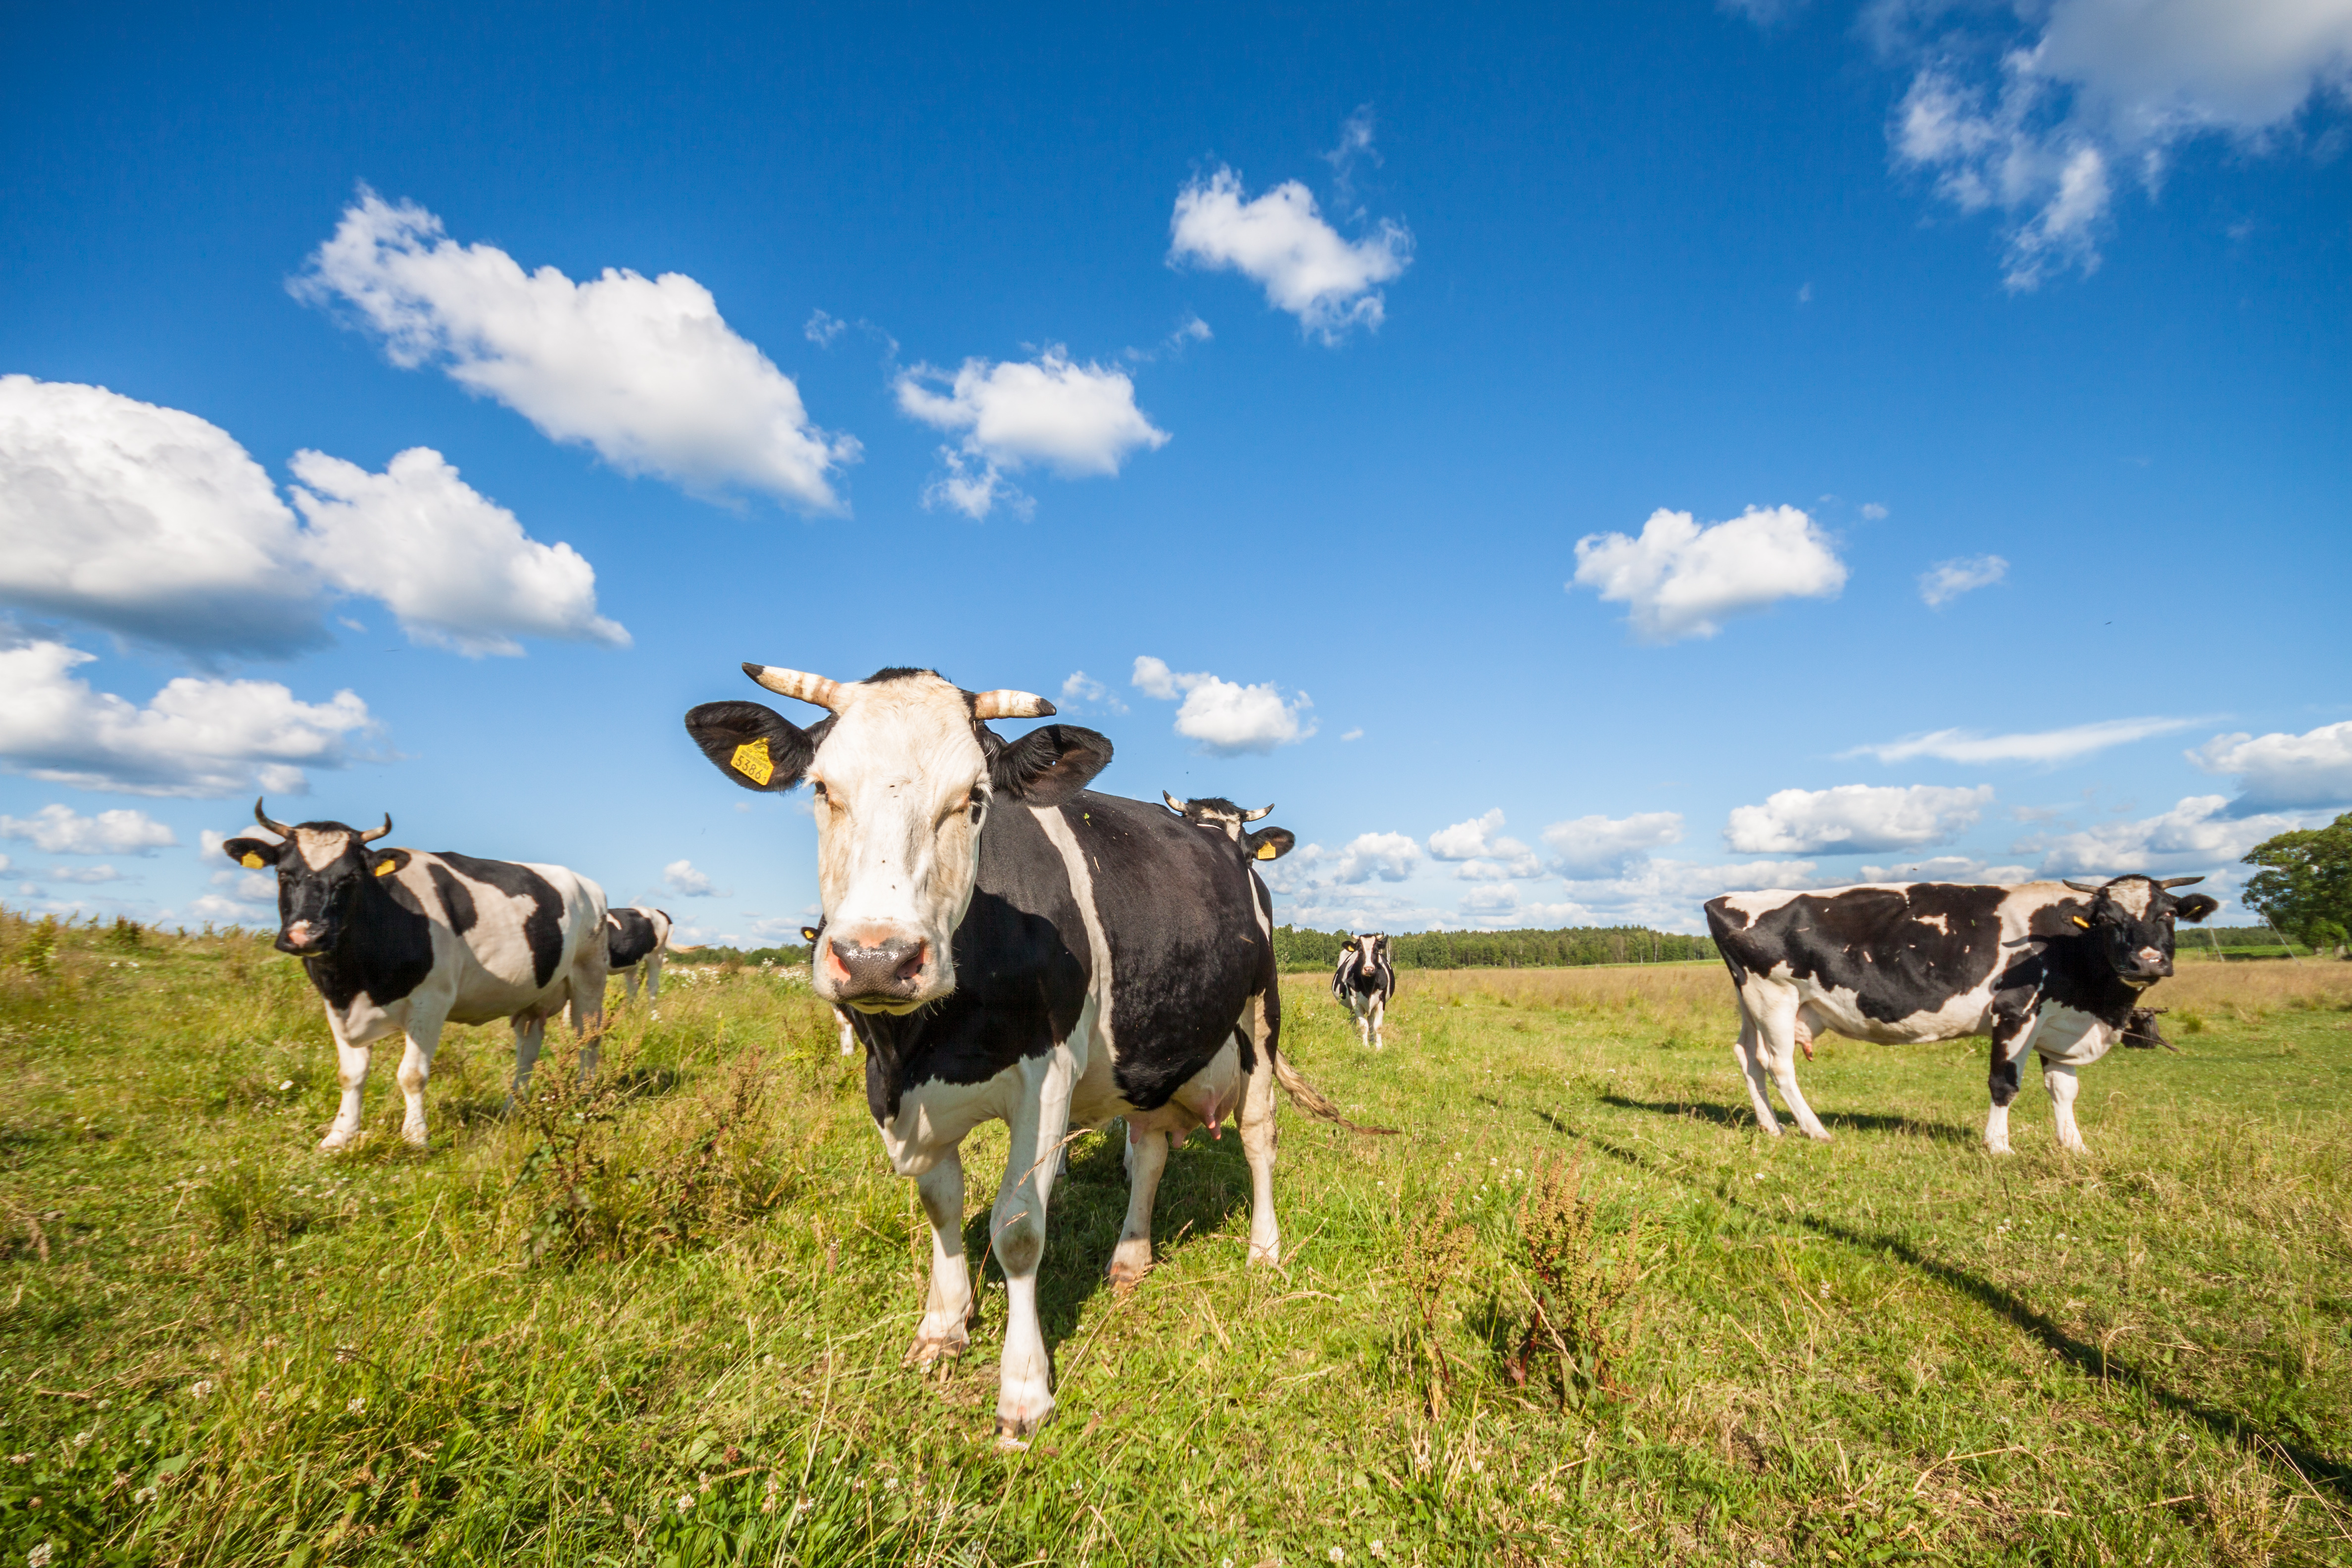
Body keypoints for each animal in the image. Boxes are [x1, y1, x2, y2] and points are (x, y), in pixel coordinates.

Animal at [221, 799, 611, 1152]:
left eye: (351, 877)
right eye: (283, 874)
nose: (307, 936)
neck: (356, 978)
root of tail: (587, 884)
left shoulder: (432, 1001)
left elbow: (412, 1074)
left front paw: (415, 1137)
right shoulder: (336, 1003)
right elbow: (351, 1074)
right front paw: (339, 1137)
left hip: (589, 975)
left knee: (589, 1038)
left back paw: (584, 1098)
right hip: (533, 997)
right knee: (528, 1050)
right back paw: (513, 1107)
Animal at [602, 907, 677, 1006]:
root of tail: (657, 910)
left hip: (657, 955)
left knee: (652, 986)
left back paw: (651, 1010)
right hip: (633, 963)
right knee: (634, 987)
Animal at [682, 667, 1364, 1448]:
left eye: (975, 798)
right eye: (822, 788)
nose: (878, 958)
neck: (921, 1047)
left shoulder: (1049, 1075)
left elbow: (1017, 1228)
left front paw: (1024, 1389)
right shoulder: (895, 1087)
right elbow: (940, 1203)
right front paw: (943, 1324)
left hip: (1259, 1013)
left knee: (1258, 1135)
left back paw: (1264, 1249)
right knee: (1151, 1149)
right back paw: (1131, 1256)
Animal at [1326, 931, 1392, 1053]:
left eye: (1376, 951)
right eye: (1360, 951)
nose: (1369, 969)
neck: (1368, 986)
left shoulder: (1381, 1000)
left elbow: (1377, 1025)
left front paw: (1378, 1047)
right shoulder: (1355, 1001)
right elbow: (1363, 1025)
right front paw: (1365, 1046)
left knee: (1371, 1020)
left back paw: (1372, 1039)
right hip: (1351, 1006)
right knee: (1353, 1020)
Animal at [1703, 879, 2210, 1161]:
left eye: (2169, 915)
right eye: (2107, 919)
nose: (2146, 962)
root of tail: (1725, 899)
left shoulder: (2058, 1022)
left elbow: (2064, 1089)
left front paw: (2074, 1146)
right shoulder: (2017, 1011)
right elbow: (2004, 1084)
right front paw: (1999, 1147)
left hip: (1753, 1001)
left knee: (1748, 1057)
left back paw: (1772, 1127)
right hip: (1774, 995)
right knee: (1779, 1064)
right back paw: (1815, 1129)